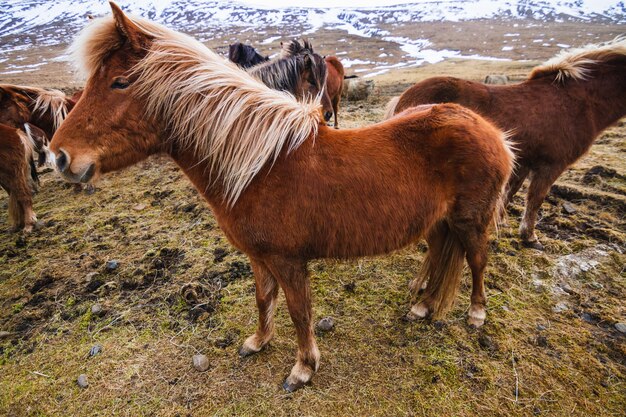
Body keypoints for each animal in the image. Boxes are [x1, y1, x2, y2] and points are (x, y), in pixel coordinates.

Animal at [50, 2, 512, 390]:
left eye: (119, 82)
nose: (59, 156)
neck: (260, 166)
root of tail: (493, 133)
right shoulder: (259, 256)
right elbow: (263, 299)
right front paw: (258, 342)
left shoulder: (290, 261)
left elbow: (299, 312)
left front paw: (303, 368)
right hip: (438, 222)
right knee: (439, 253)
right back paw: (424, 306)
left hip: (470, 221)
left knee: (476, 260)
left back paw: (475, 313)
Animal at [382, 36, 624, 247]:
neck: (579, 102)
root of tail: (404, 95)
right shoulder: (550, 165)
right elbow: (535, 199)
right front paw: (529, 237)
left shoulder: (524, 161)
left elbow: (510, 192)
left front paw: (501, 222)